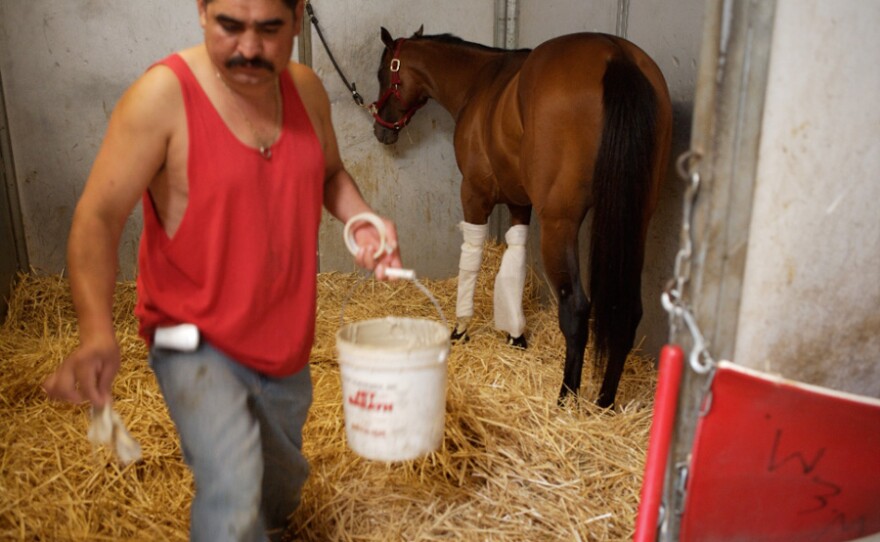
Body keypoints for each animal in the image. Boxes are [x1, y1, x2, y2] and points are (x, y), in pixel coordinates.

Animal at [369, 27, 673, 408]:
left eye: (383, 73)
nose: (381, 130)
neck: (481, 82)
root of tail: (615, 54)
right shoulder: (519, 203)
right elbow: (514, 257)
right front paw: (516, 335)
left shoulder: (474, 194)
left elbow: (471, 257)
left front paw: (461, 328)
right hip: (636, 223)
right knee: (627, 309)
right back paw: (604, 402)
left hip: (560, 224)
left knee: (575, 309)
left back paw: (566, 397)